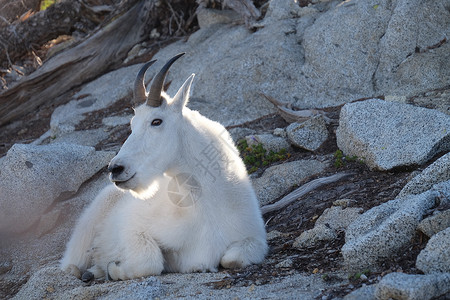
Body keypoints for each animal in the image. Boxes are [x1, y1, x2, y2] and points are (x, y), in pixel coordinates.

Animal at [61, 52, 268, 280]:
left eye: (156, 121)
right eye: (132, 124)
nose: (115, 169)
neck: (205, 205)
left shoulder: (254, 238)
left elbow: (232, 259)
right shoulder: (133, 228)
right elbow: (149, 261)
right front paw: (114, 268)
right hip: (90, 221)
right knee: (71, 262)